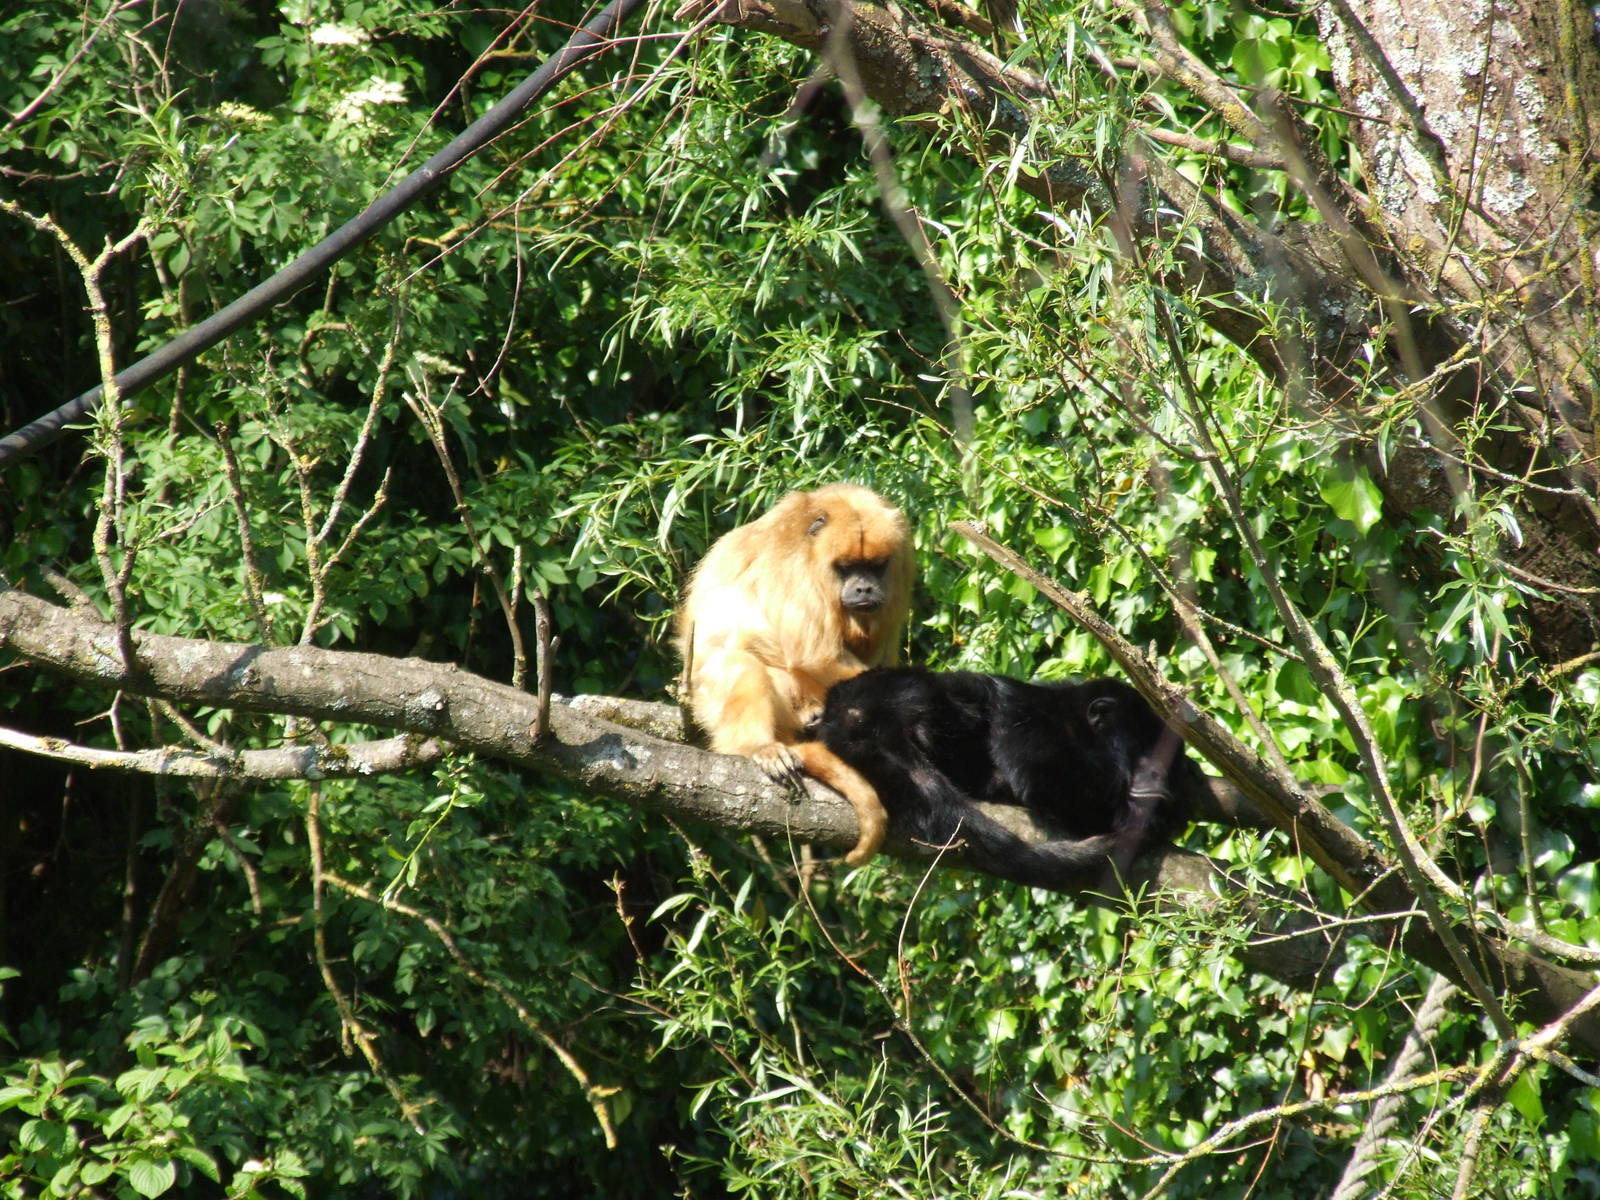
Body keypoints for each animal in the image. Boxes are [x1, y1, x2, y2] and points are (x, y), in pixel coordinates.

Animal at [676, 483, 915, 864]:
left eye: (875, 567)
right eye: (847, 568)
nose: (864, 588)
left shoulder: (903, 564)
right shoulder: (793, 566)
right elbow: (814, 653)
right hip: (708, 694)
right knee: (741, 667)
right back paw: (756, 745)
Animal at [807, 667, 1205, 889]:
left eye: (1164, 759)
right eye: (1145, 747)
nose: (1158, 775)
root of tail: (847, 711)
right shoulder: (1033, 722)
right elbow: (1035, 775)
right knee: (955, 693)